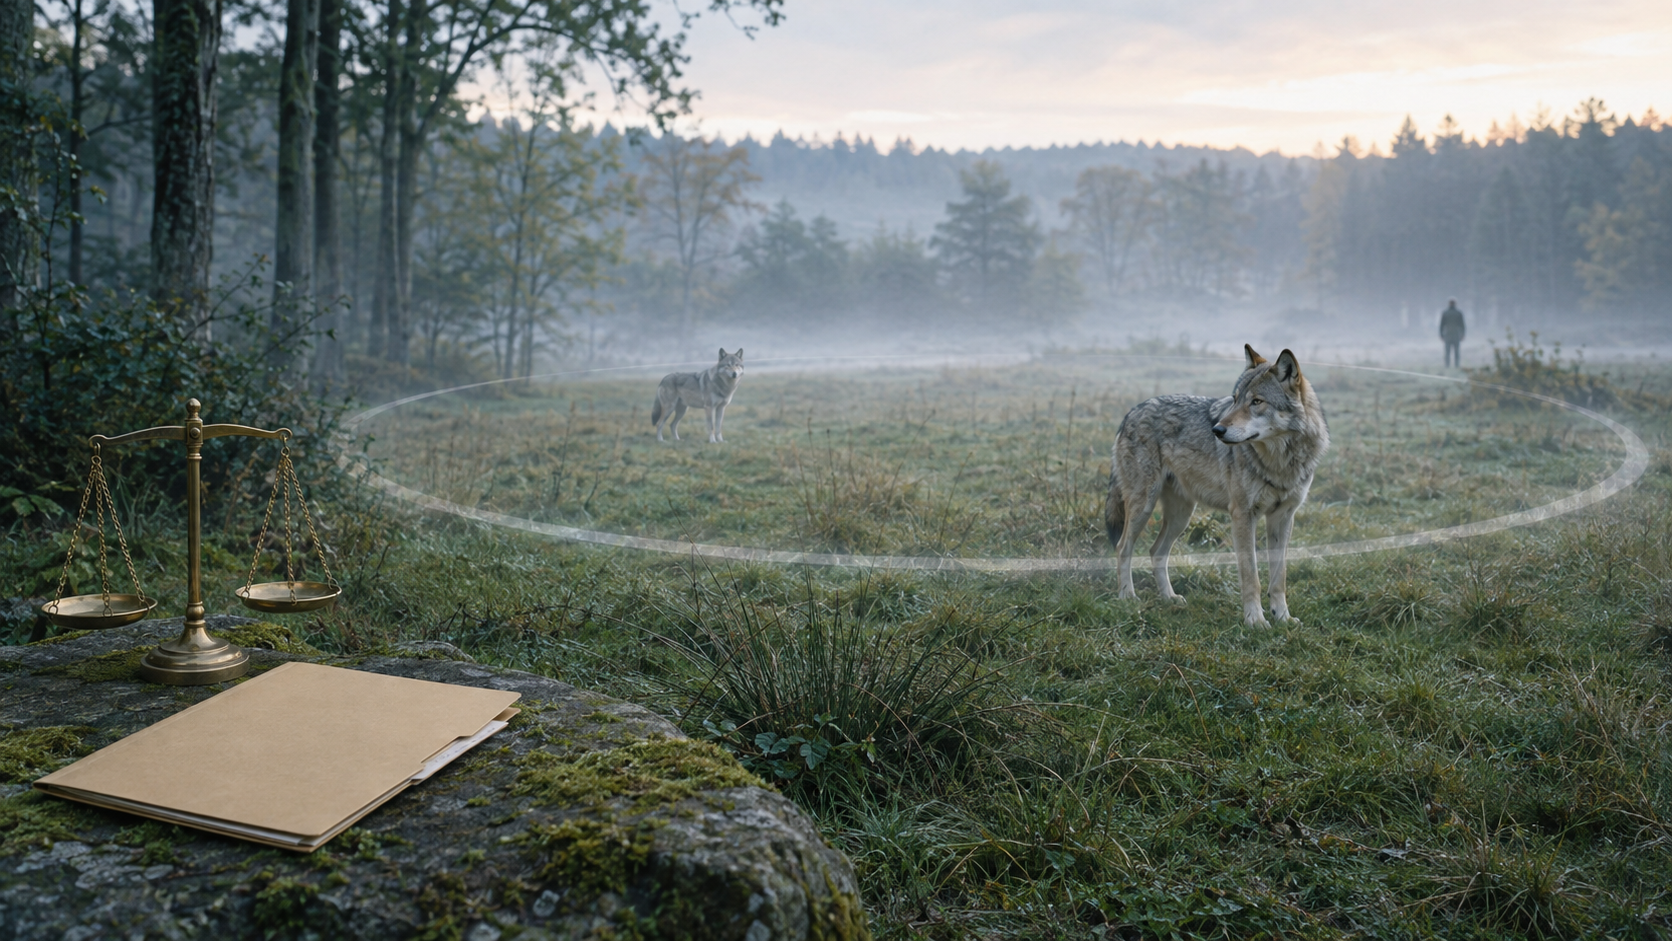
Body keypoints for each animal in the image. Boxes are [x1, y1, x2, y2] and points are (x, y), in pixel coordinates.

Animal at [1105, 345, 1329, 626]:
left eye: (1256, 402)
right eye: (1235, 399)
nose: (1217, 430)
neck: (1279, 462)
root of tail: (1131, 411)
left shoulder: (1283, 518)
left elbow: (1279, 578)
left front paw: (1283, 618)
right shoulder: (1243, 515)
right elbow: (1251, 576)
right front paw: (1256, 621)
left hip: (1181, 516)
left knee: (1156, 551)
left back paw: (1169, 598)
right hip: (1143, 507)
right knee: (1123, 547)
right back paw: (1127, 596)